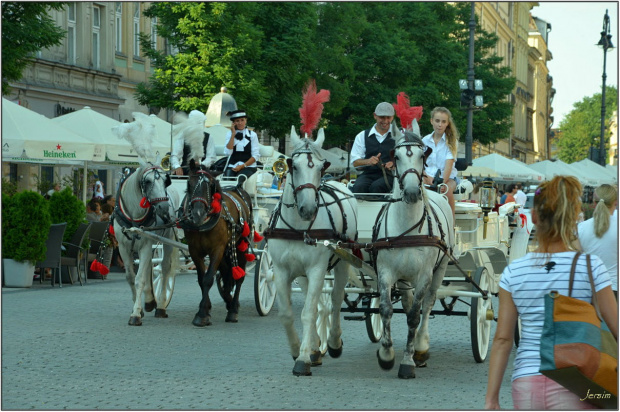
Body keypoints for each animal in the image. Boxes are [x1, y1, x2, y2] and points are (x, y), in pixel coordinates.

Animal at [180, 159, 256, 326]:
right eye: (189, 183)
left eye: (210, 186)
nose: (198, 213)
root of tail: (238, 188)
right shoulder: (194, 250)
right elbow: (202, 279)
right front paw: (206, 309)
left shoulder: (217, 249)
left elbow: (208, 279)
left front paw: (202, 314)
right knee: (227, 274)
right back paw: (229, 300)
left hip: (241, 245)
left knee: (239, 277)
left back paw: (233, 309)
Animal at [262, 126, 358, 376]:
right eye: (293, 166)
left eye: (321, 166)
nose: (308, 209)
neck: (297, 227)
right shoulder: (281, 270)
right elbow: (287, 313)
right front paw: (299, 349)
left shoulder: (316, 269)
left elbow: (309, 312)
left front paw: (303, 359)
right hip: (303, 274)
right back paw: (316, 348)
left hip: (343, 262)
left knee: (334, 301)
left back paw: (333, 342)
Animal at [372, 122, 456, 380]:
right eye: (396, 156)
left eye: (422, 156)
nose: (410, 192)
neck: (407, 228)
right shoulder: (386, 272)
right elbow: (386, 309)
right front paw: (386, 354)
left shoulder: (424, 275)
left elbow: (414, 316)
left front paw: (408, 360)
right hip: (404, 278)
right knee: (409, 303)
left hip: (440, 269)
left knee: (426, 306)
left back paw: (420, 346)